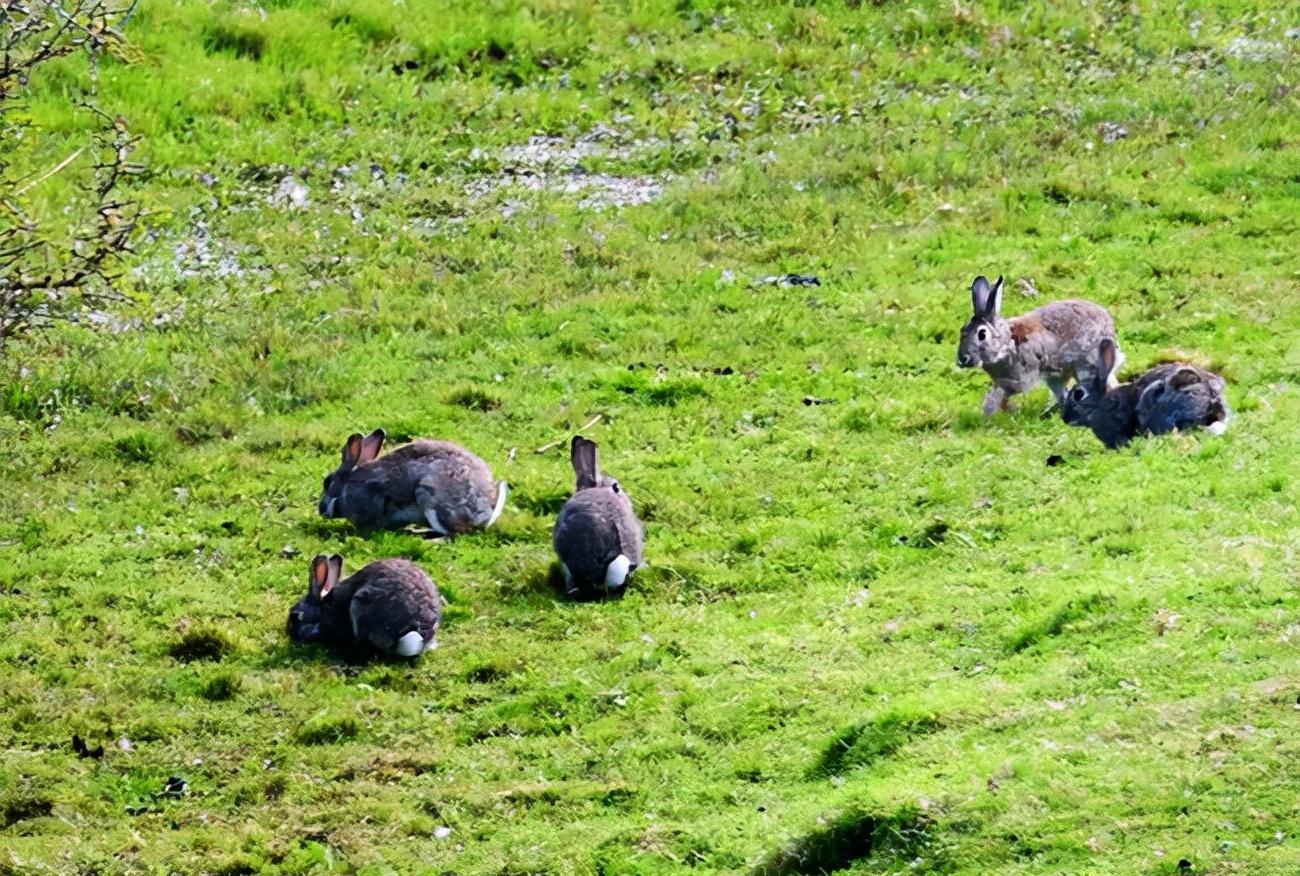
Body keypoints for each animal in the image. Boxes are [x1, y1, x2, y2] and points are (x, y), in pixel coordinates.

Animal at [319, 428, 506, 535]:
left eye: (327, 482)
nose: (320, 510)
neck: (347, 486)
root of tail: (486, 512)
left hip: (430, 497)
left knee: (454, 534)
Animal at [956, 271, 1128, 413]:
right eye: (962, 330)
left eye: (982, 334)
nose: (962, 359)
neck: (1007, 342)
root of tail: (1110, 330)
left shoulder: (1022, 377)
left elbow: (1000, 395)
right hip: (1057, 378)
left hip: (1085, 365)